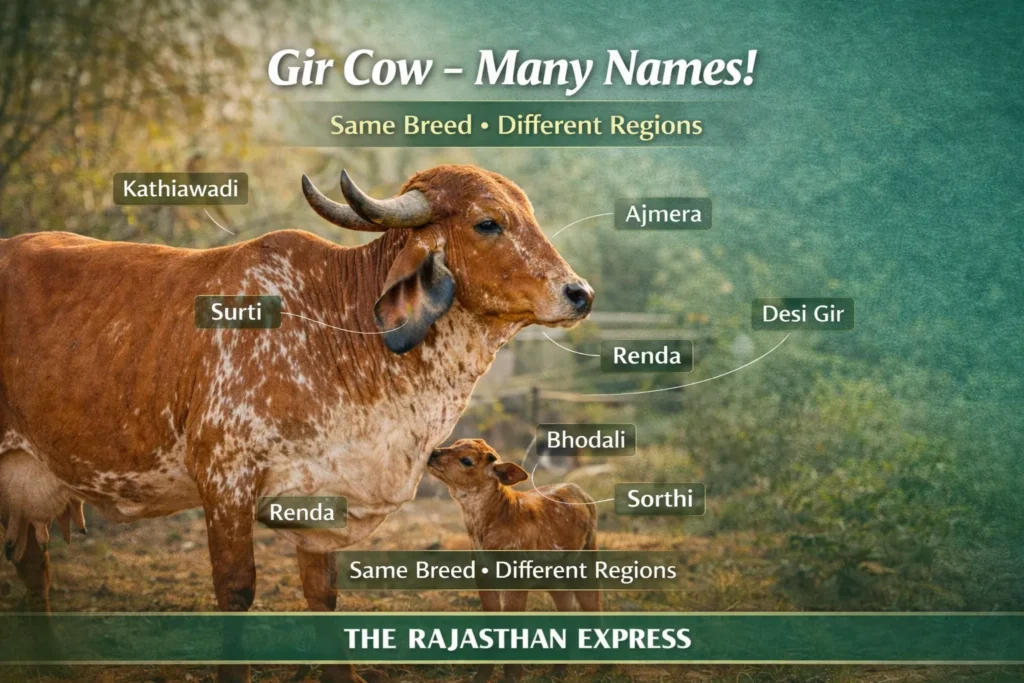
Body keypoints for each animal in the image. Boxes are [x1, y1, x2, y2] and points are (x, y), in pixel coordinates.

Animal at [0, 164, 593, 682]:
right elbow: (236, 590)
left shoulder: (324, 496)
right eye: (488, 222)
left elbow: (322, 593)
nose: (580, 293)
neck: (336, 328)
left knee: (34, 565)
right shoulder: (225, 479)